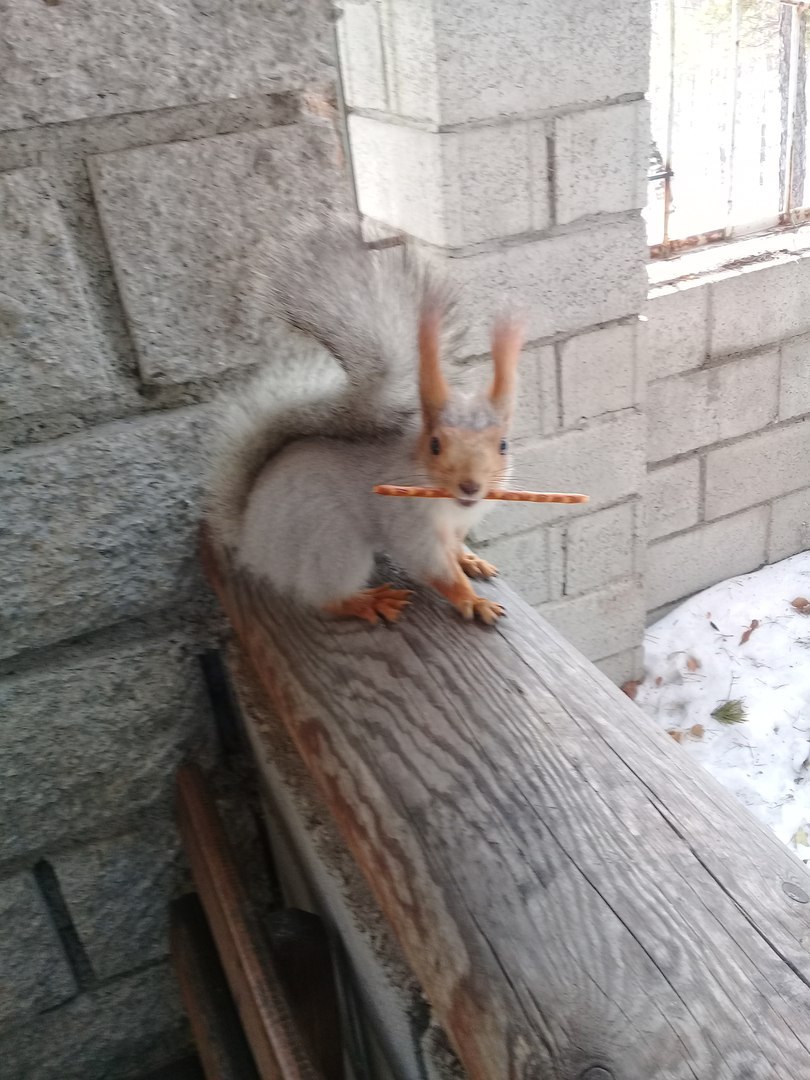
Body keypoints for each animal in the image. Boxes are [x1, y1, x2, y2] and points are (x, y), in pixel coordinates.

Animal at [207, 221, 527, 626]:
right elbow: (436, 569)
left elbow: (454, 549)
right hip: (332, 543)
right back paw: (367, 601)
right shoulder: (408, 524)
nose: (471, 486)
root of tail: (250, 539)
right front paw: (472, 600)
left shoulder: (456, 526)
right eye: (435, 444)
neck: (452, 507)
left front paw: (468, 559)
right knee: (326, 597)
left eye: (503, 445)